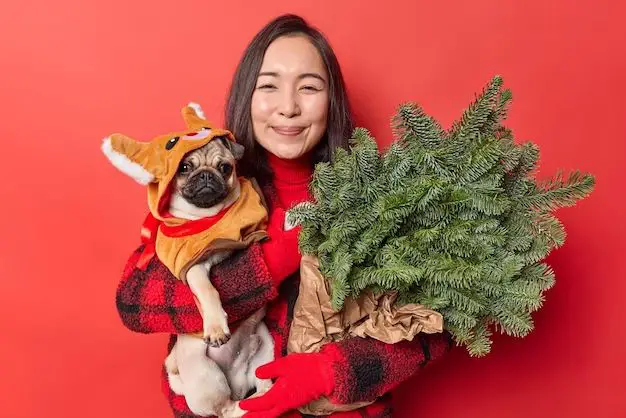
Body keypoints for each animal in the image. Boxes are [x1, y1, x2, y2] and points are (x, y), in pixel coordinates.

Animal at [162, 136, 274, 414]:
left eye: (225, 168)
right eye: (184, 168)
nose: (205, 175)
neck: (214, 217)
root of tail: (237, 381)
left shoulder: (255, 234)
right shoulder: (194, 266)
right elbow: (207, 289)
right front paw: (215, 325)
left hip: (265, 349)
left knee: (262, 384)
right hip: (206, 374)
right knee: (228, 409)